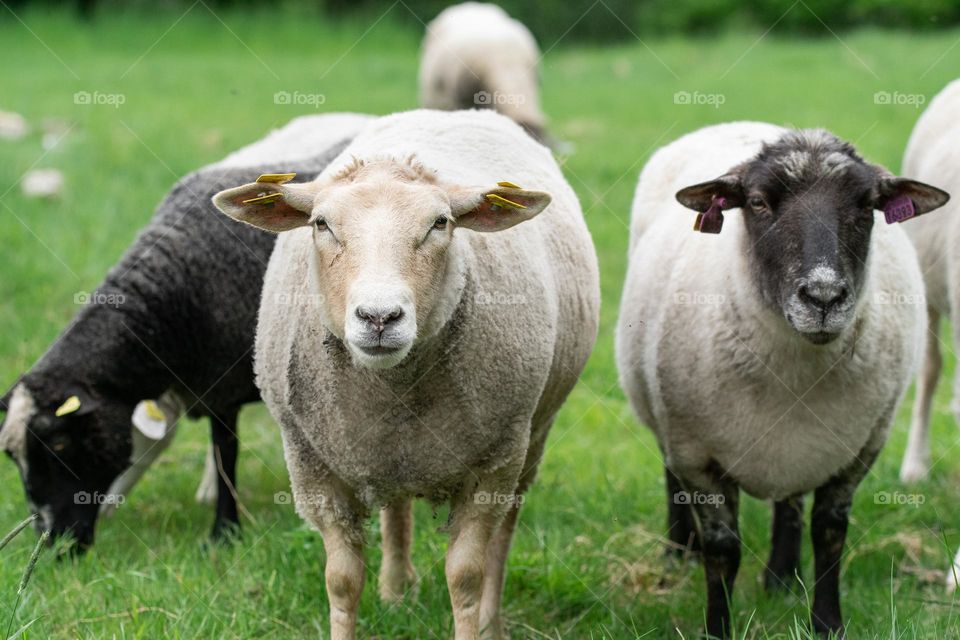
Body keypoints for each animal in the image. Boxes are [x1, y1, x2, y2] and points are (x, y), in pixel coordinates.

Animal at [0, 112, 372, 548]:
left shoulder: (223, 387)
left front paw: (224, 534)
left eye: (59, 442)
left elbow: (225, 452)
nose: (52, 542)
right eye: (12, 456)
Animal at [214, 110, 596, 640]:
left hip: (532, 434)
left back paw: (492, 621)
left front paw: (474, 623)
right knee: (396, 507)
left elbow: (466, 576)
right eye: (321, 224)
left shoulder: (494, 464)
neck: (392, 386)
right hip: (388, 450)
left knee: (506, 531)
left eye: (440, 223)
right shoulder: (311, 466)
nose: (379, 317)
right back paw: (396, 591)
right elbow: (341, 580)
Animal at [620, 122, 948, 636]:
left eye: (866, 204)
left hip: (800, 445)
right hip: (660, 410)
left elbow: (829, 533)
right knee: (671, 475)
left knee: (790, 504)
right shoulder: (698, 453)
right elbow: (723, 550)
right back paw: (678, 554)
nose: (824, 297)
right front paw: (718, 628)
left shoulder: (858, 449)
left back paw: (781, 578)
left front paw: (827, 624)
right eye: (757, 202)